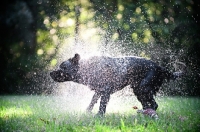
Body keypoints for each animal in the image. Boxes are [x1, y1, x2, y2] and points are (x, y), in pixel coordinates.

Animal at [50, 53, 184, 115]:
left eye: (62, 67)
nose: (50, 72)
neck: (89, 68)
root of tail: (160, 67)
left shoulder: (106, 91)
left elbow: (102, 105)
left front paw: (99, 116)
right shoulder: (99, 91)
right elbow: (92, 101)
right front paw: (87, 111)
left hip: (143, 88)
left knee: (154, 105)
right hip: (138, 90)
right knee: (148, 105)